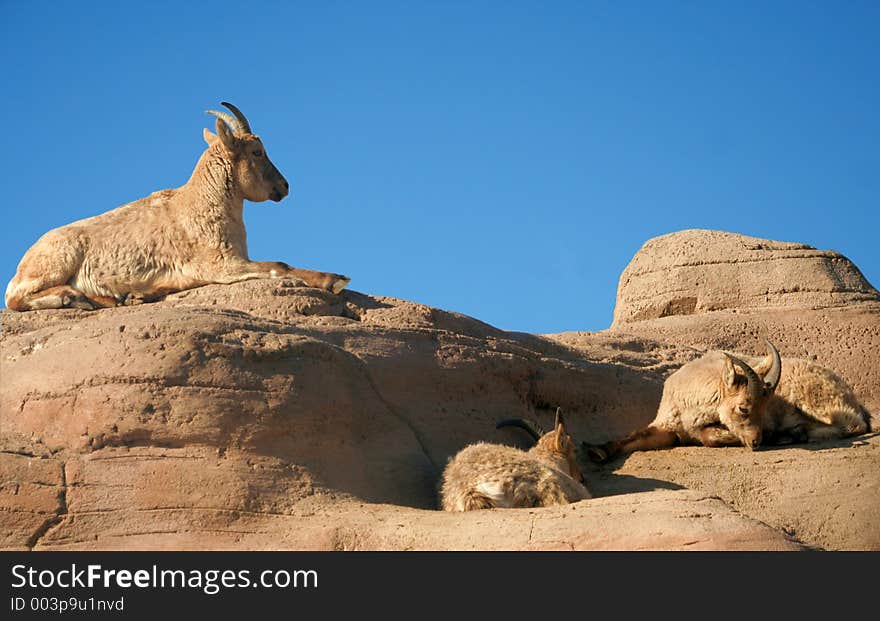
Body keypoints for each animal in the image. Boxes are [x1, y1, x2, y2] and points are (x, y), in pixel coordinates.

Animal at [7, 103, 350, 312]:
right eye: (257, 152)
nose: (284, 186)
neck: (202, 203)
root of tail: (23, 261)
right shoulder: (221, 265)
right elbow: (280, 265)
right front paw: (333, 279)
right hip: (55, 261)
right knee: (15, 297)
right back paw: (73, 296)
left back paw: (116, 297)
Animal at [588, 340, 868, 460]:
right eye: (743, 407)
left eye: (764, 409)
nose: (756, 442)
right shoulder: (669, 426)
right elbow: (638, 436)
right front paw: (598, 450)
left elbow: (709, 437)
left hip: (812, 398)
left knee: (853, 425)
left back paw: (793, 434)